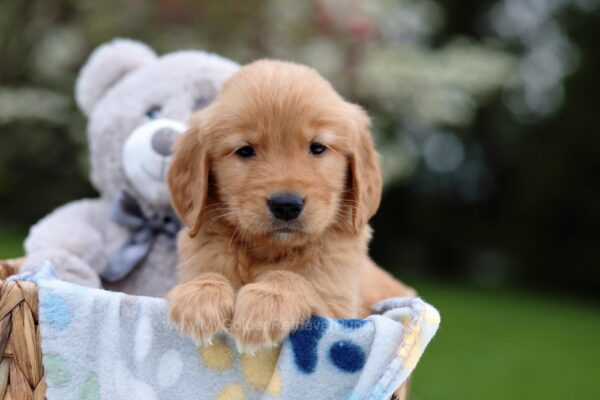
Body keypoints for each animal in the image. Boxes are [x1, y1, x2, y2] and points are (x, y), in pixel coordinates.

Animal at [166, 60, 414, 354]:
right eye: (245, 150)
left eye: (317, 147)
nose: (286, 205)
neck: (269, 253)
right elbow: (209, 272)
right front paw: (200, 295)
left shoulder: (340, 313)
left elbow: (297, 280)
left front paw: (266, 303)